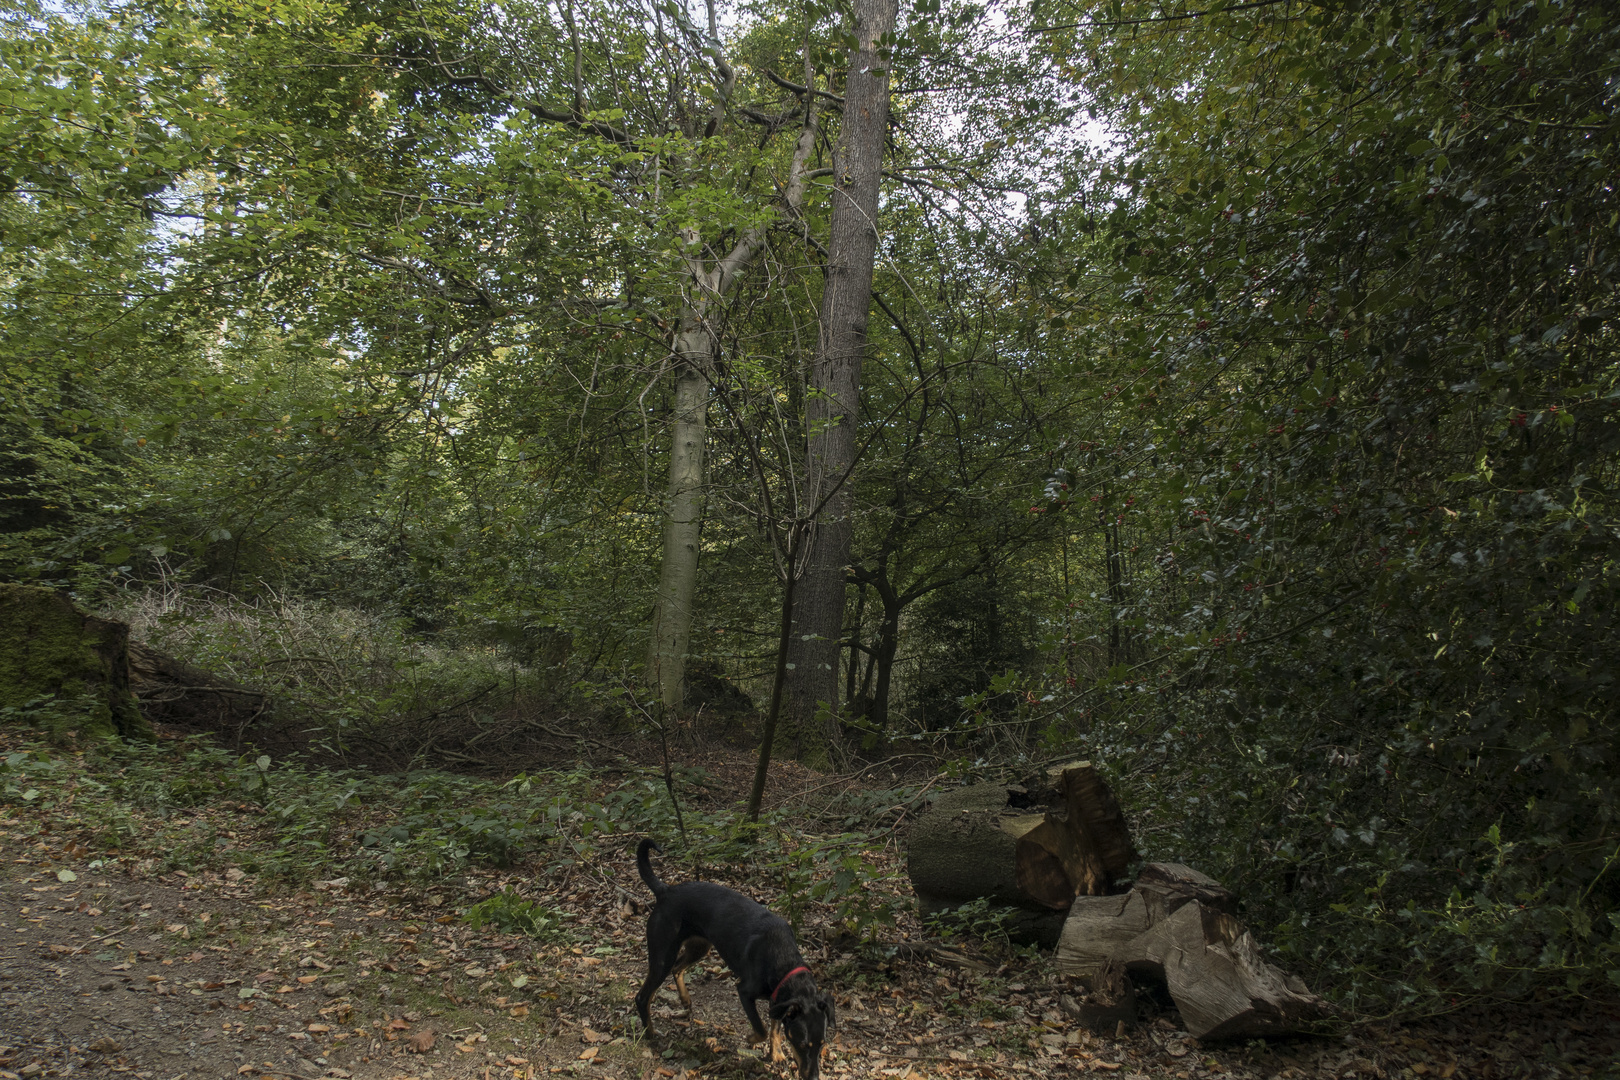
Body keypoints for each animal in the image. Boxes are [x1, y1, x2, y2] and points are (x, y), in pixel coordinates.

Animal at [631, 841, 835, 1075]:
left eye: (822, 1044)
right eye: (802, 1044)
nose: (814, 1077)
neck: (783, 960)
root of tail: (665, 891)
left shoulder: (777, 999)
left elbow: (774, 1029)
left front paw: (776, 1053)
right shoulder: (745, 991)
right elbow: (761, 1028)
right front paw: (751, 1038)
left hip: (700, 947)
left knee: (678, 968)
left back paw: (684, 999)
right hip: (662, 956)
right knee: (643, 996)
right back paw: (650, 1034)